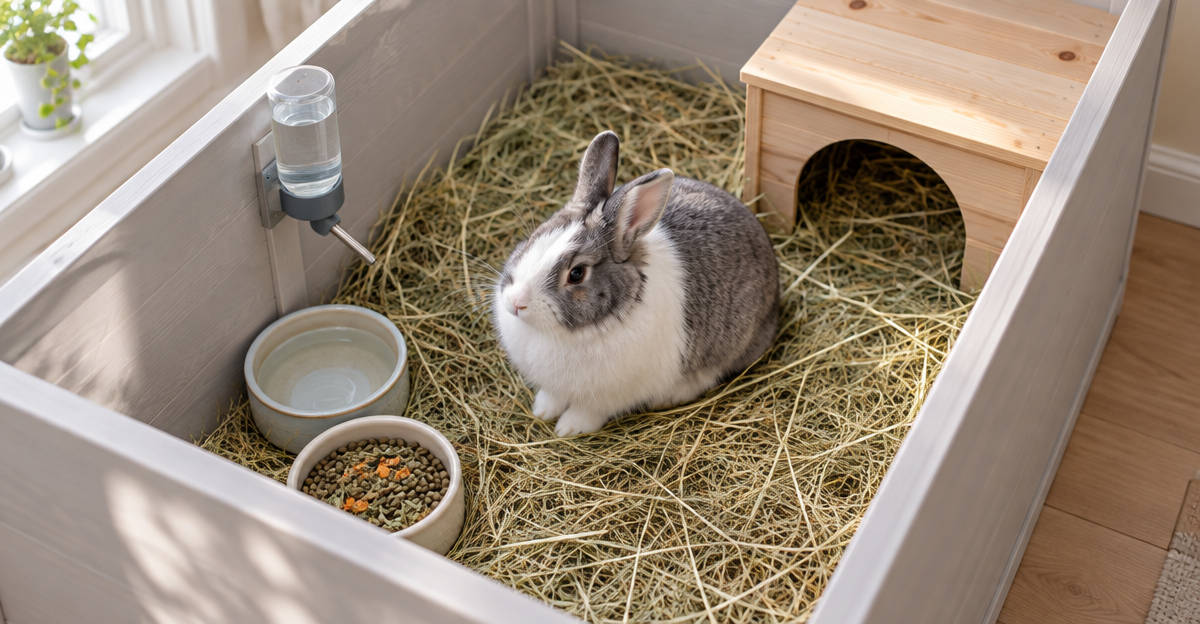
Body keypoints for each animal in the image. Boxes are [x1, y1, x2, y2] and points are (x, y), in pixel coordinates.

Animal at [493, 131, 780, 437]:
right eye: (534, 238)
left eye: (577, 274)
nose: (515, 302)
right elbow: (553, 396)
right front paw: (542, 410)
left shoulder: (606, 396)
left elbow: (587, 411)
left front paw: (567, 430)